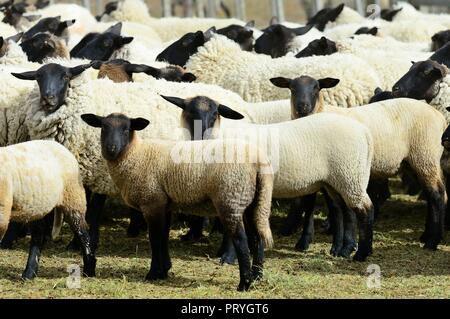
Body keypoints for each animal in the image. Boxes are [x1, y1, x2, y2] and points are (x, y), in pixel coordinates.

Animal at [0, 140, 96, 280]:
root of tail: (58, 145)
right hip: (36, 206)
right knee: (38, 235)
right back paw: (29, 273)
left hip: (73, 197)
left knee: (82, 232)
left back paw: (89, 271)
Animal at [81, 112, 274, 292]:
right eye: (103, 128)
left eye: (126, 129)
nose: (111, 149)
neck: (136, 154)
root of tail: (259, 161)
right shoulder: (164, 204)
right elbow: (163, 238)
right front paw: (164, 270)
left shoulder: (152, 202)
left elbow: (155, 239)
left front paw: (153, 273)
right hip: (253, 201)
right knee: (257, 238)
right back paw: (257, 277)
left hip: (230, 198)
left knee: (241, 240)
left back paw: (244, 283)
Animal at [162, 95, 376, 262]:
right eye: (190, 113)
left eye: (215, 114)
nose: (201, 135)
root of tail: (364, 131)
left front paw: (228, 257)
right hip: (339, 179)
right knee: (346, 210)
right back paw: (343, 250)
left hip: (350, 174)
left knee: (365, 209)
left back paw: (360, 254)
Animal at [268, 74, 448, 252]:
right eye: (292, 88)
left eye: (316, 88)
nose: (303, 106)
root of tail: (439, 116)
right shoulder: (318, 173)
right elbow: (319, 206)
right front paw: (311, 242)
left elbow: (340, 208)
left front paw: (346, 245)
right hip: (412, 162)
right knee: (432, 195)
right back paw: (427, 235)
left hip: (425, 156)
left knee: (437, 195)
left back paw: (432, 242)